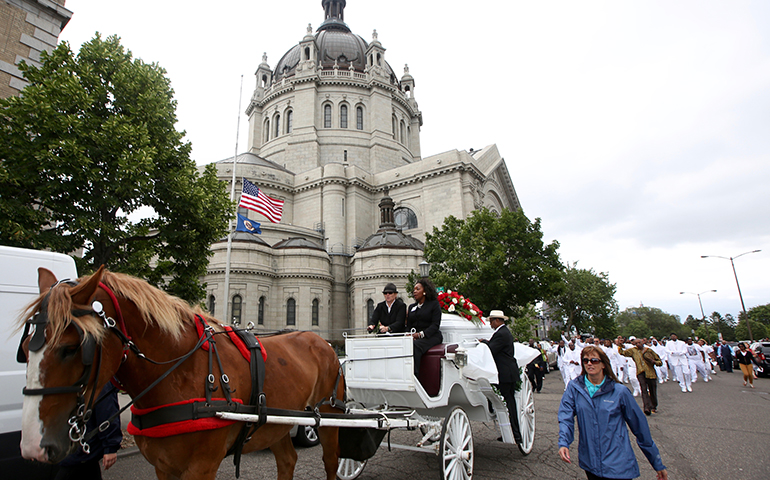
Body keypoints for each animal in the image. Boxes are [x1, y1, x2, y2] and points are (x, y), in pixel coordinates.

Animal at [17, 266, 342, 480]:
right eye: (24, 350)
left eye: (71, 348)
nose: (33, 445)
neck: (180, 372)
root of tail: (324, 343)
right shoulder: (163, 466)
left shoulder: (202, 466)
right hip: (275, 425)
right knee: (288, 460)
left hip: (328, 417)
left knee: (330, 461)